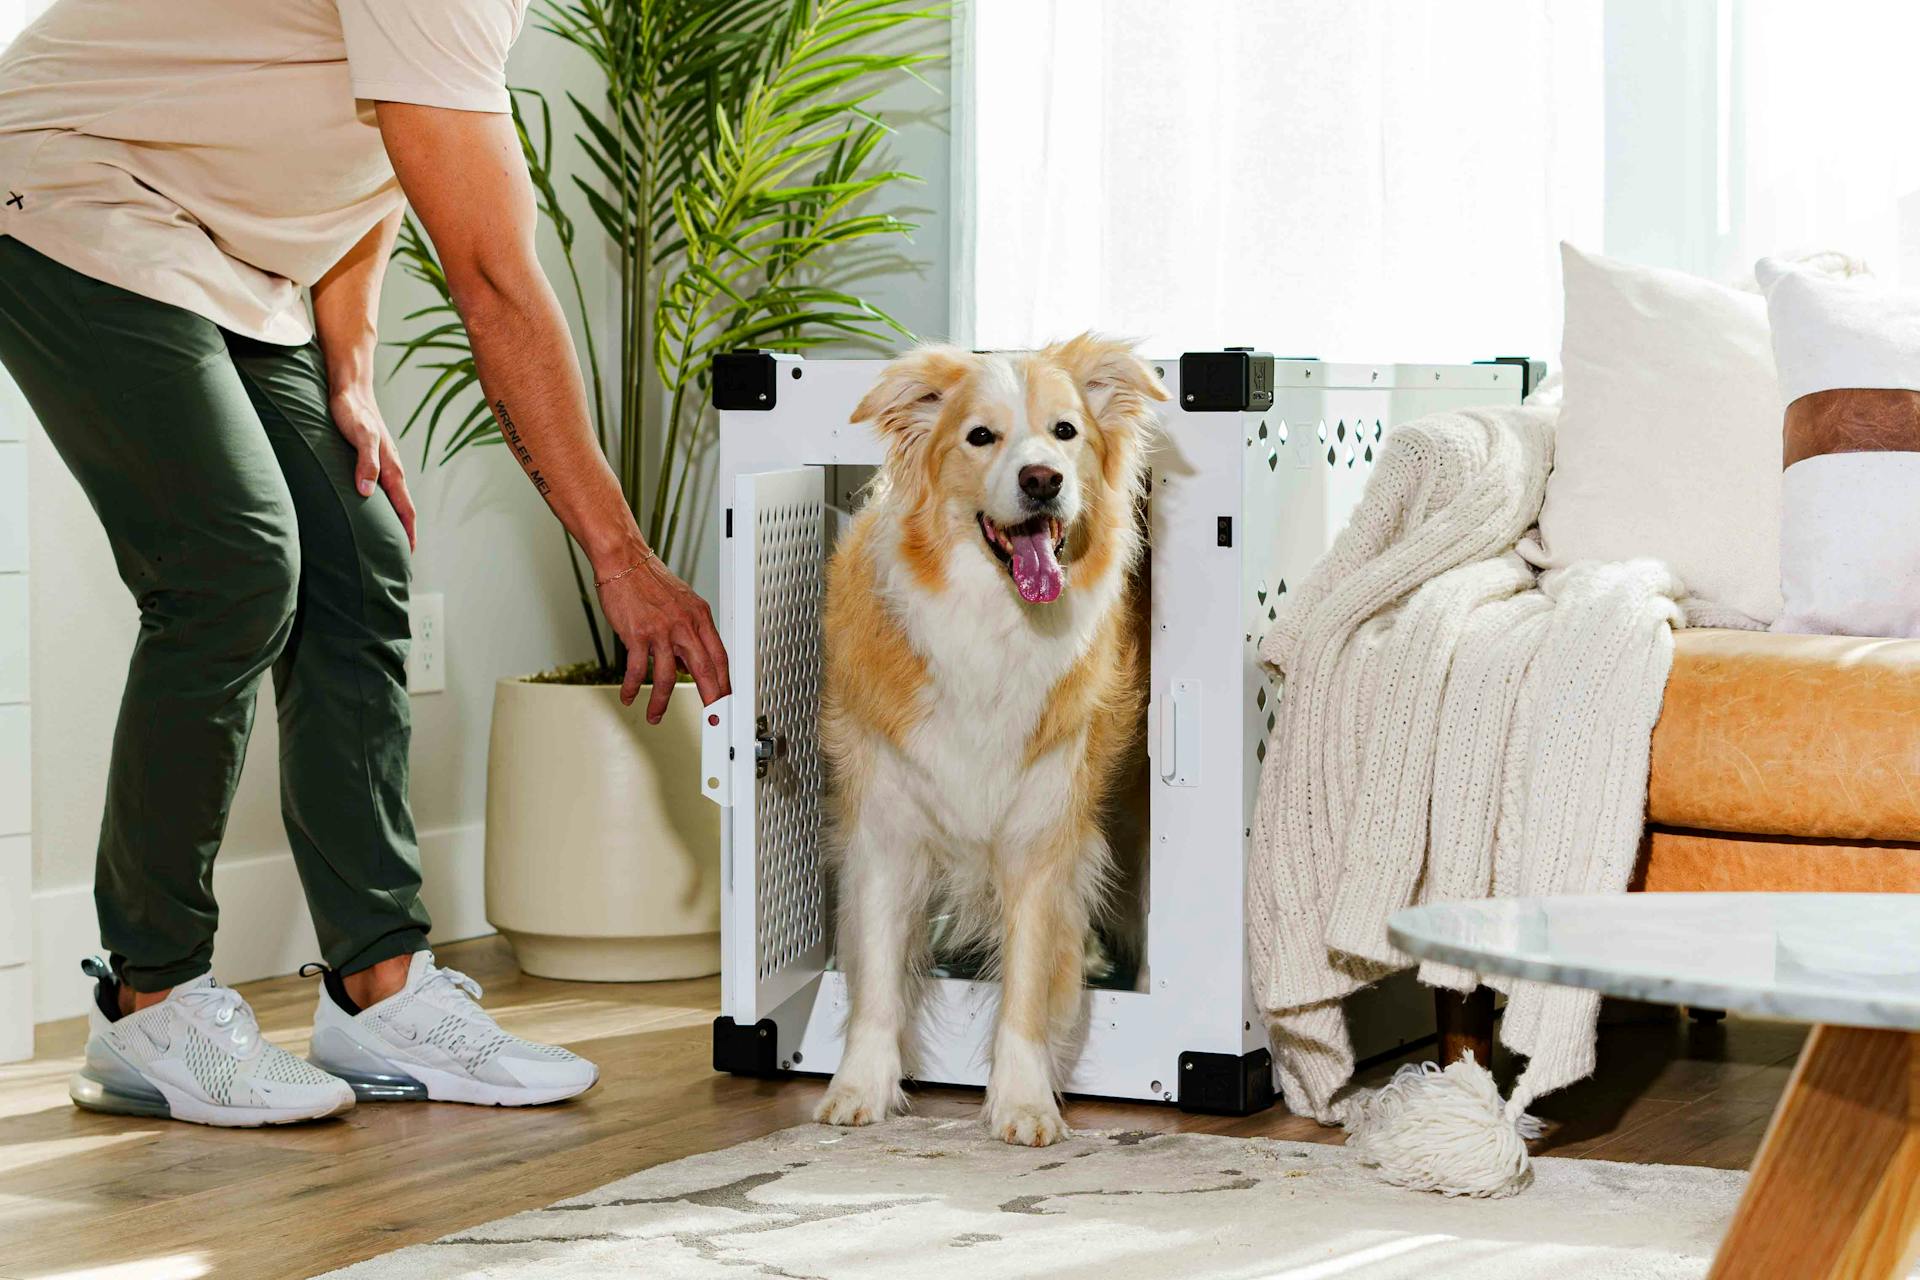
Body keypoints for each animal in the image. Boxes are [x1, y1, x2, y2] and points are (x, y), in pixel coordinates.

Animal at [814, 335, 1167, 1143]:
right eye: (981, 437)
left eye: (1066, 432)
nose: (1042, 481)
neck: (993, 620)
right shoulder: (886, 828)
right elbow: (877, 972)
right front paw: (860, 1087)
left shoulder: (1042, 833)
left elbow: (1031, 979)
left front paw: (1022, 1101)